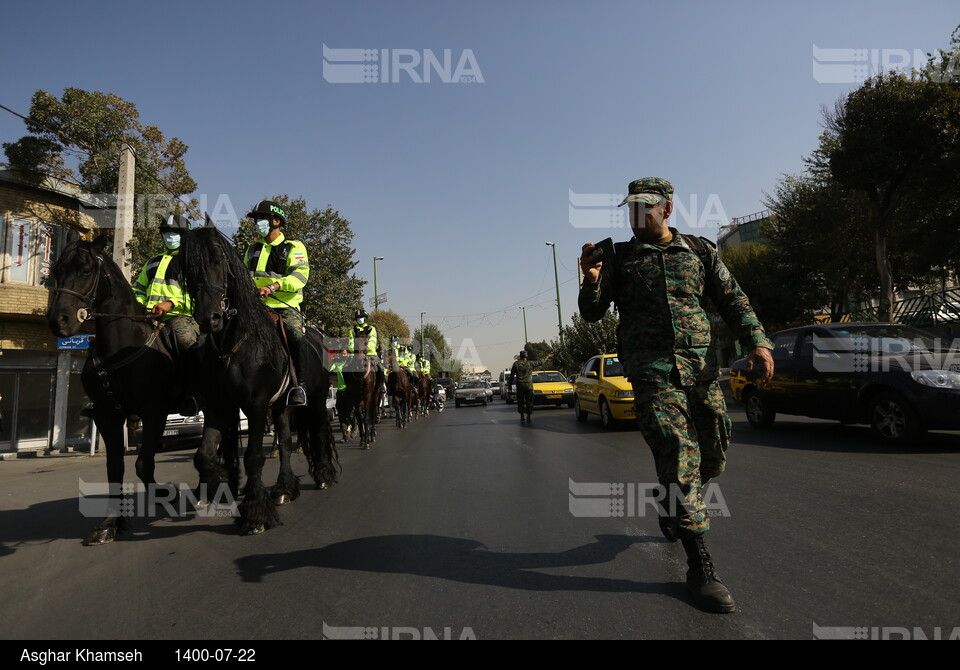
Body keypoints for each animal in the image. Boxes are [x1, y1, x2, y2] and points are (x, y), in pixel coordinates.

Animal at [47, 235, 199, 544]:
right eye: (56, 270)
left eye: (85, 270)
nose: (59, 321)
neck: (120, 348)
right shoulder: (108, 416)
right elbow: (114, 468)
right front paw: (109, 522)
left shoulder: (154, 412)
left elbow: (143, 463)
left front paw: (165, 493)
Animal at [180, 226, 338, 536]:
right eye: (188, 268)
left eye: (218, 261)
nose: (209, 318)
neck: (231, 345)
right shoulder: (217, 408)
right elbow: (202, 456)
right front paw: (220, 482)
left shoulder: (255, 405)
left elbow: (253, 457)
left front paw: (255, 514)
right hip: (281, 406)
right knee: (286, 441)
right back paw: (284, 489)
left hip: (315, 399)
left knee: (320, 432)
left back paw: (324, 475)